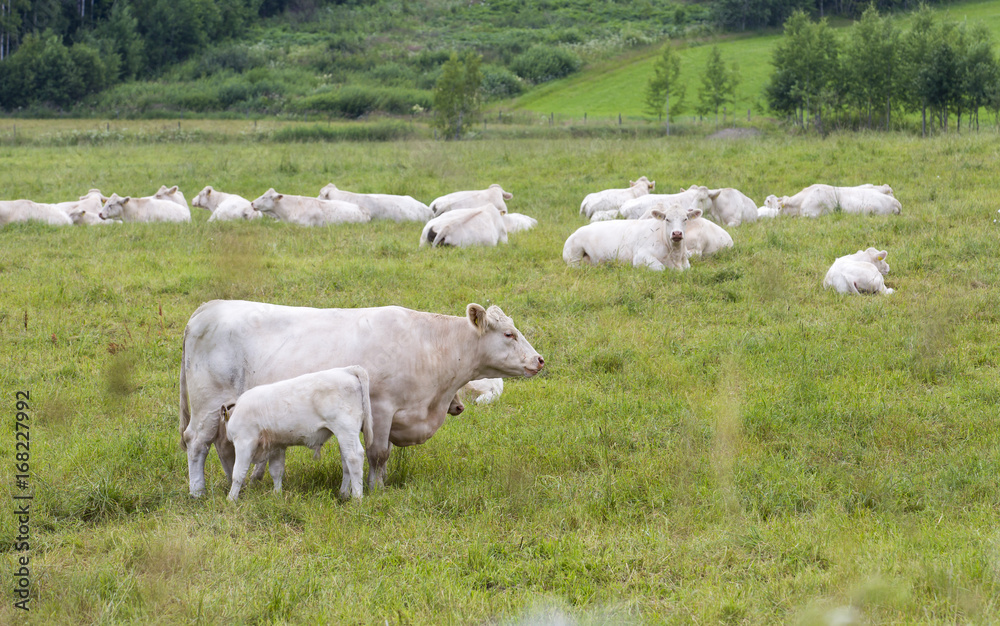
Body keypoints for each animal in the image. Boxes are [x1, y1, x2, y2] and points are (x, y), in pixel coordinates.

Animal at [222, 365, 373, 501]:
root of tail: (347, 369)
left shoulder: (244, 441)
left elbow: (238, 473)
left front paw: (231, 499)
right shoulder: (277, 445)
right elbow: (276, 471)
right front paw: (277, 496)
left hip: (345, 428)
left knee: (354, 458)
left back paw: (357, 498)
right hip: (345, 434)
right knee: (346, 461)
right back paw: (343, 494)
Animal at [563, 205, 702, 271]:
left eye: (685, 219)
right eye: (667, 219)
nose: (677, 233)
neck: (675, 256)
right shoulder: (641, 256)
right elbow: (662, 268)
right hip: (573, 255)